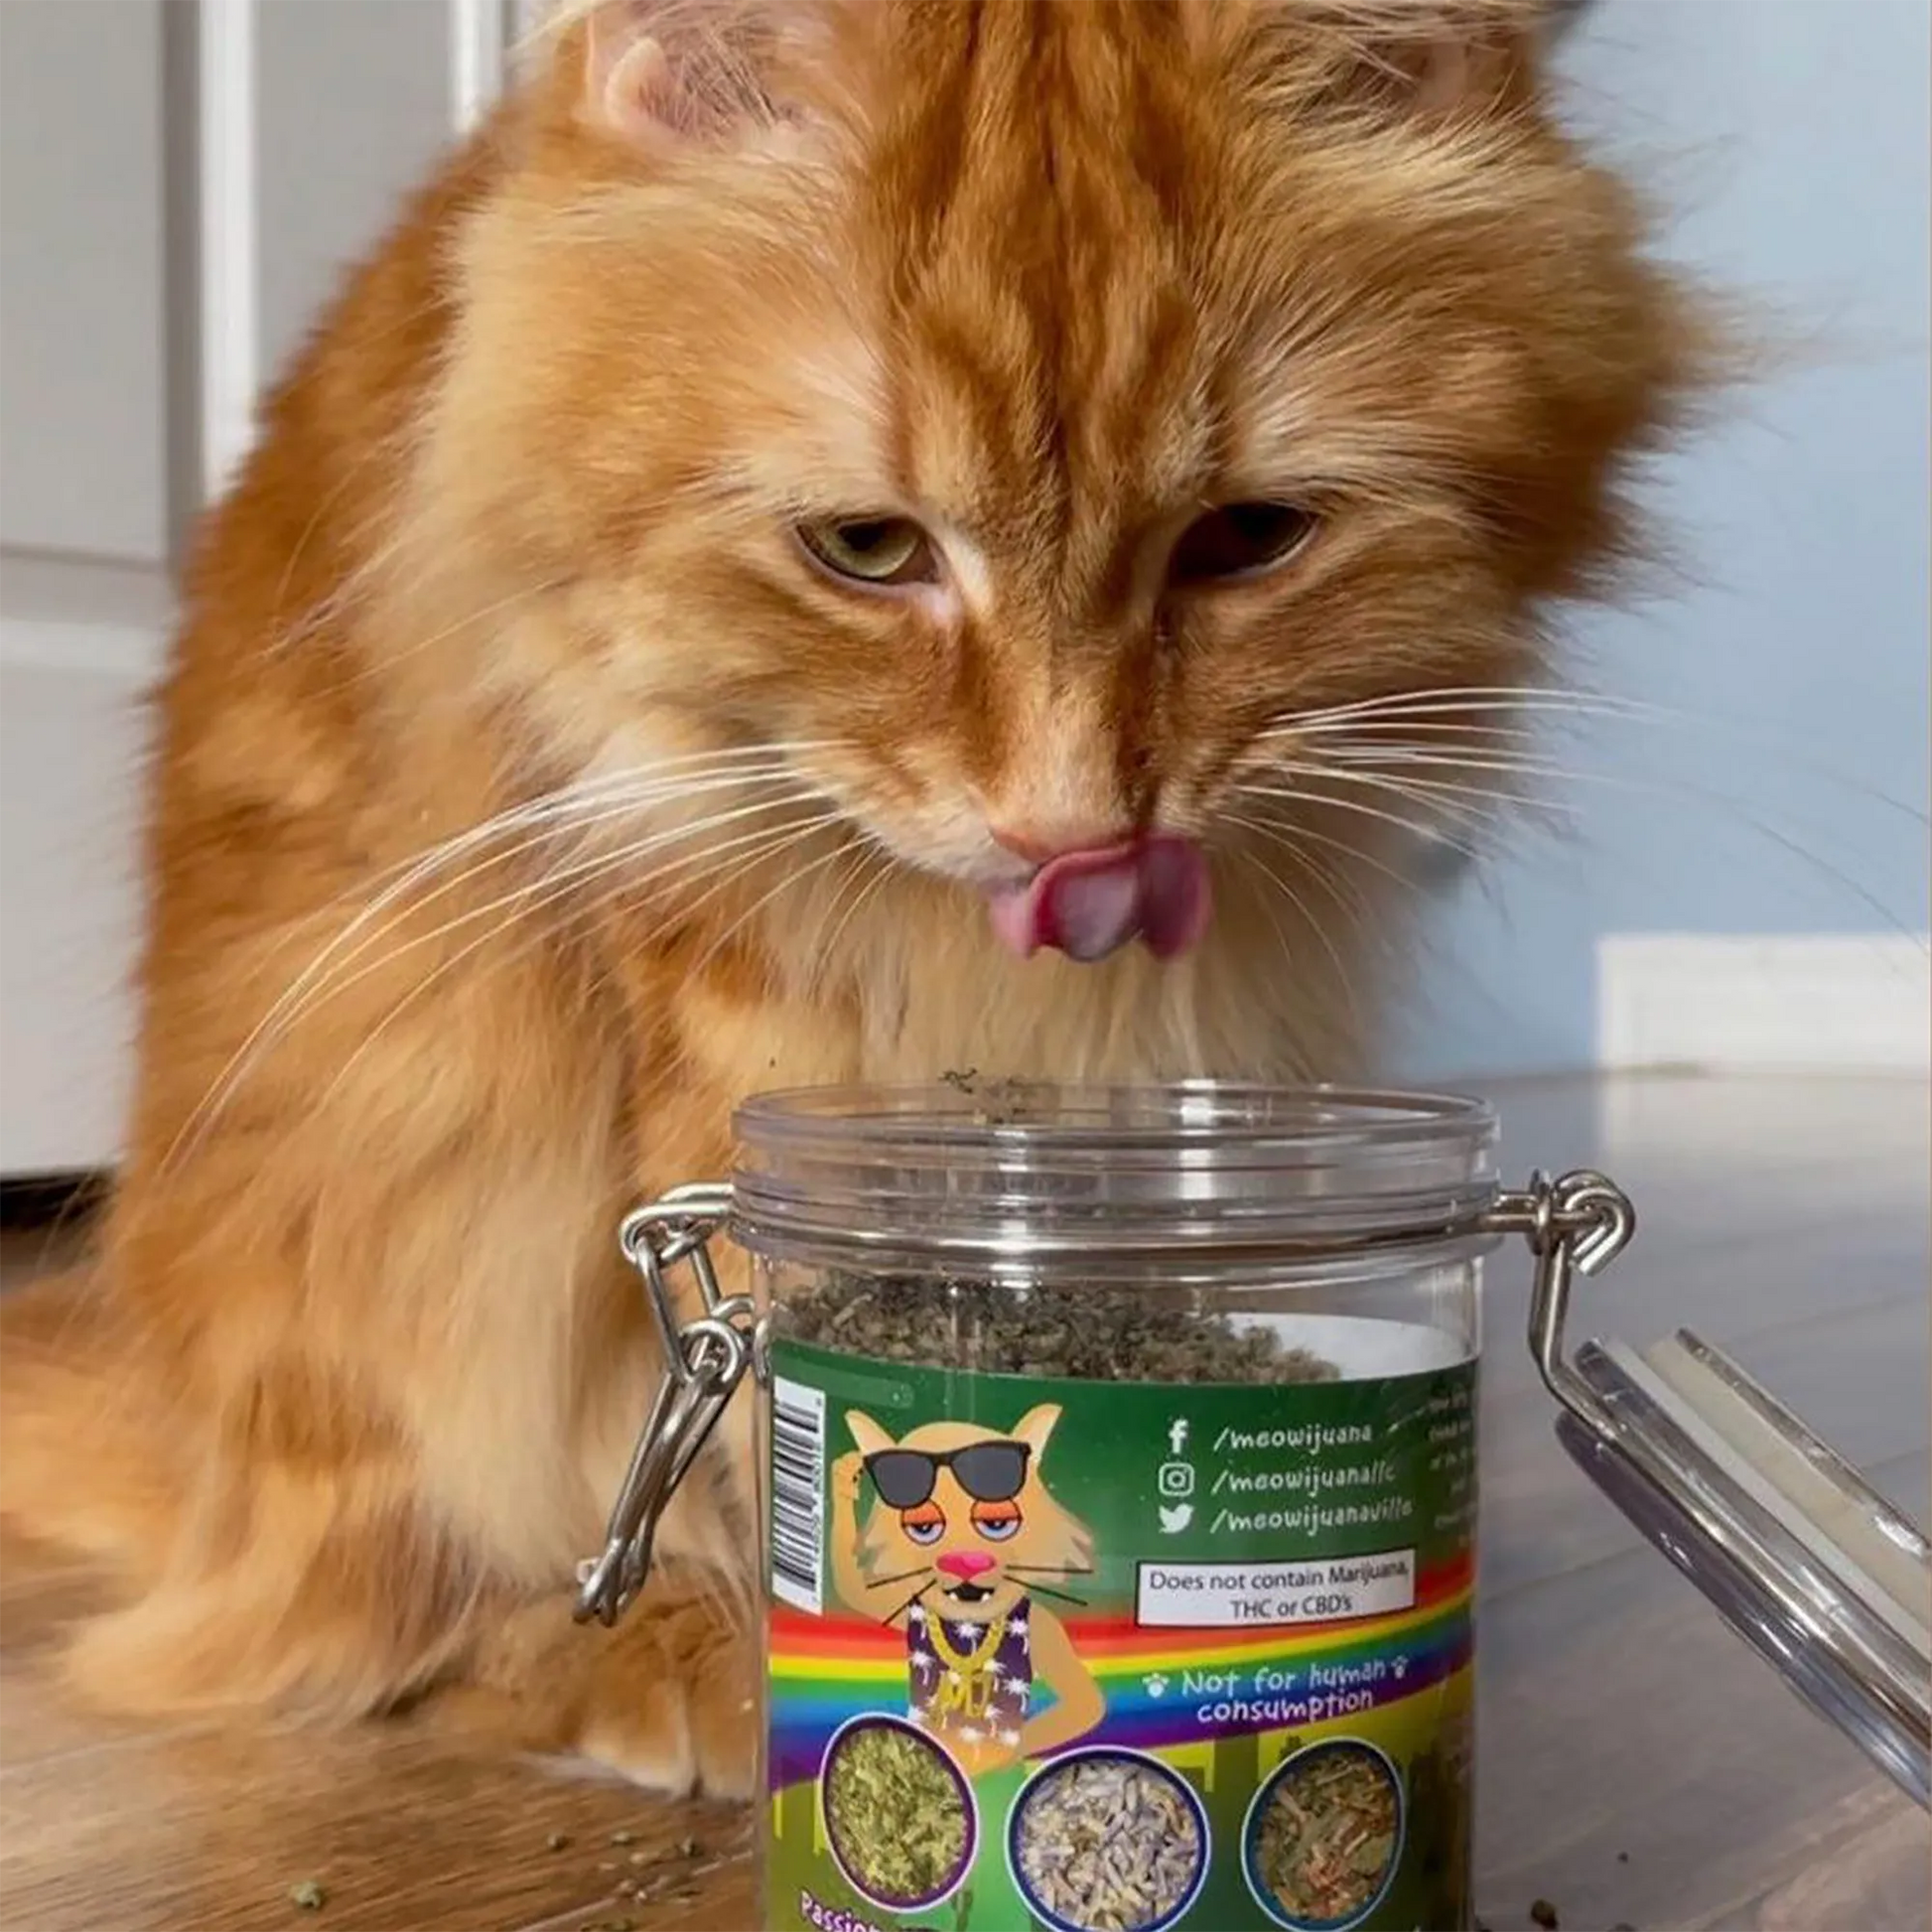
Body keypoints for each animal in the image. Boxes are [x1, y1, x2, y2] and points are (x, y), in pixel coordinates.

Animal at [0, 0, 1708, 1792]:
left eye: (1248, 539)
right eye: (867, 549)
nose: (1069, 828)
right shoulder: (706, 963)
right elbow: (745, 1406)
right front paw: (800, 1668)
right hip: (395, 1152)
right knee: (373, 1625)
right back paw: (639, 1656)